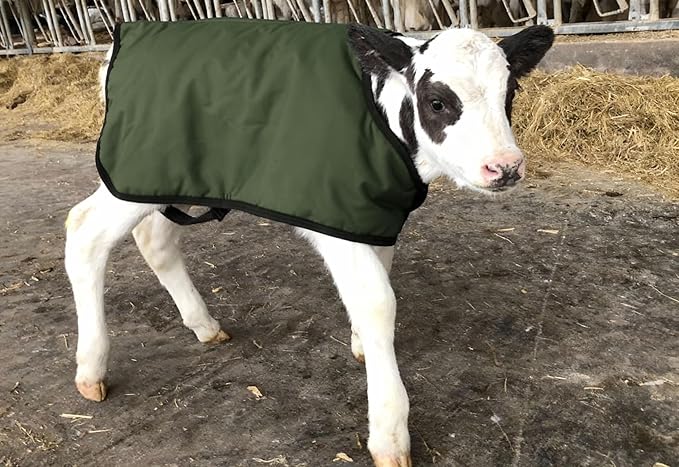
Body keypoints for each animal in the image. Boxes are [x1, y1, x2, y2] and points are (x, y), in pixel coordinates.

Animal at [65, 23, 554, 466]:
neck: (380, 116)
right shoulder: (334, 217)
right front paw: (390, 432)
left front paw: (360, 344)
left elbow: (375, 284)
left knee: (155, 237)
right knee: (84, 231)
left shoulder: (373, 216)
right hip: (138, 170)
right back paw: (91, 368)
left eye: (509, 94)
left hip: (174, 174)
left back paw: (204, 325)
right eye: (438, 101)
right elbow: (378, 302)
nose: (505, 167)